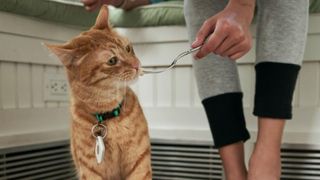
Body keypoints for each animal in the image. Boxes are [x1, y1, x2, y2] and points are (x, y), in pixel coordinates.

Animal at [45, 4, 153, 179]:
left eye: (128, 48)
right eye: (112, 60)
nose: (137, 64)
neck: (107, 113)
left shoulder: (139, 163)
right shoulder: (91, 170)